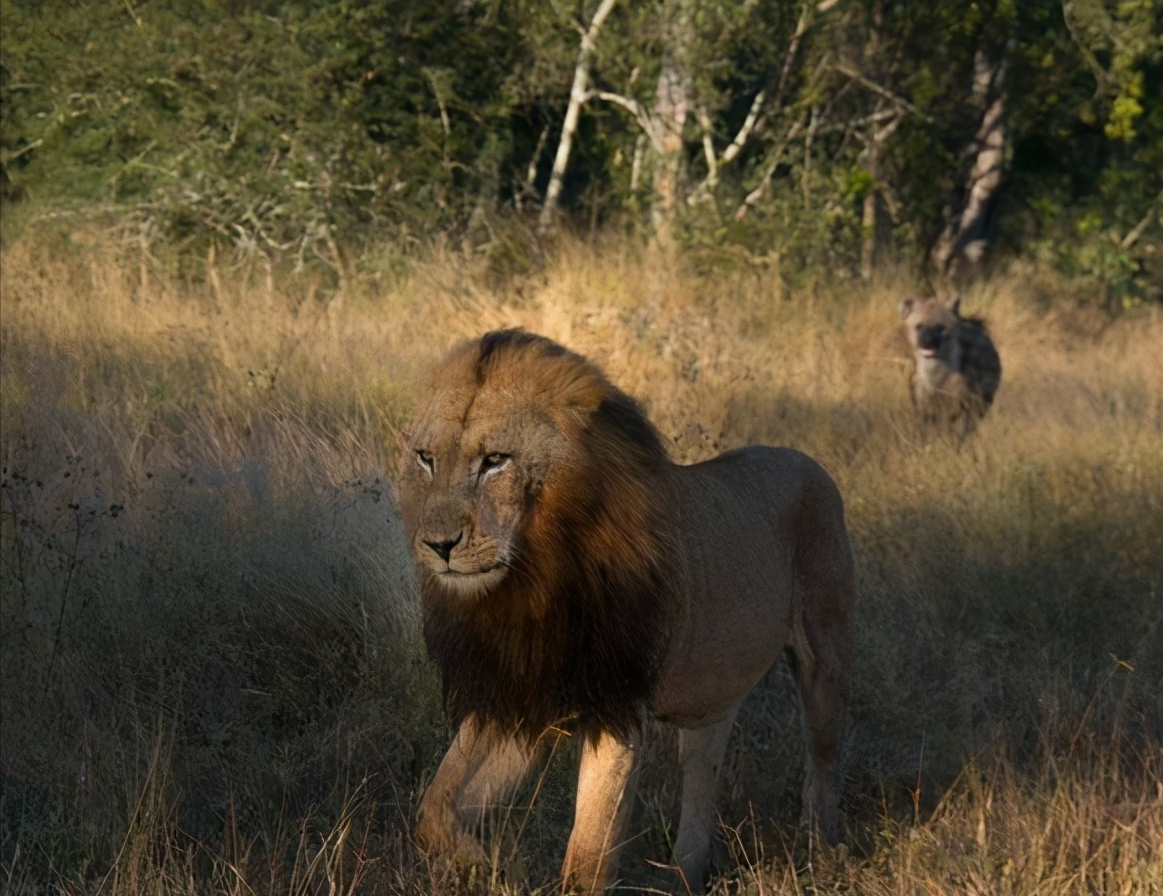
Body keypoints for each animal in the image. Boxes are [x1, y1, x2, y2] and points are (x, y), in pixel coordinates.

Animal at [397, 330, 855, 889]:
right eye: (426, 458)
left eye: (495, 460)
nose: (437, 545)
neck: (531, 583)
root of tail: (808, 461)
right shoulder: (520, 697)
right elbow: (434, 810)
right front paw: (496, 868)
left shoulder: (617, 706)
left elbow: (588, 855)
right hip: (710, 698)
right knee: (702, 769)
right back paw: (684, 875)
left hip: (825, 660)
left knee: (823, 764)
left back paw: (822, 853)